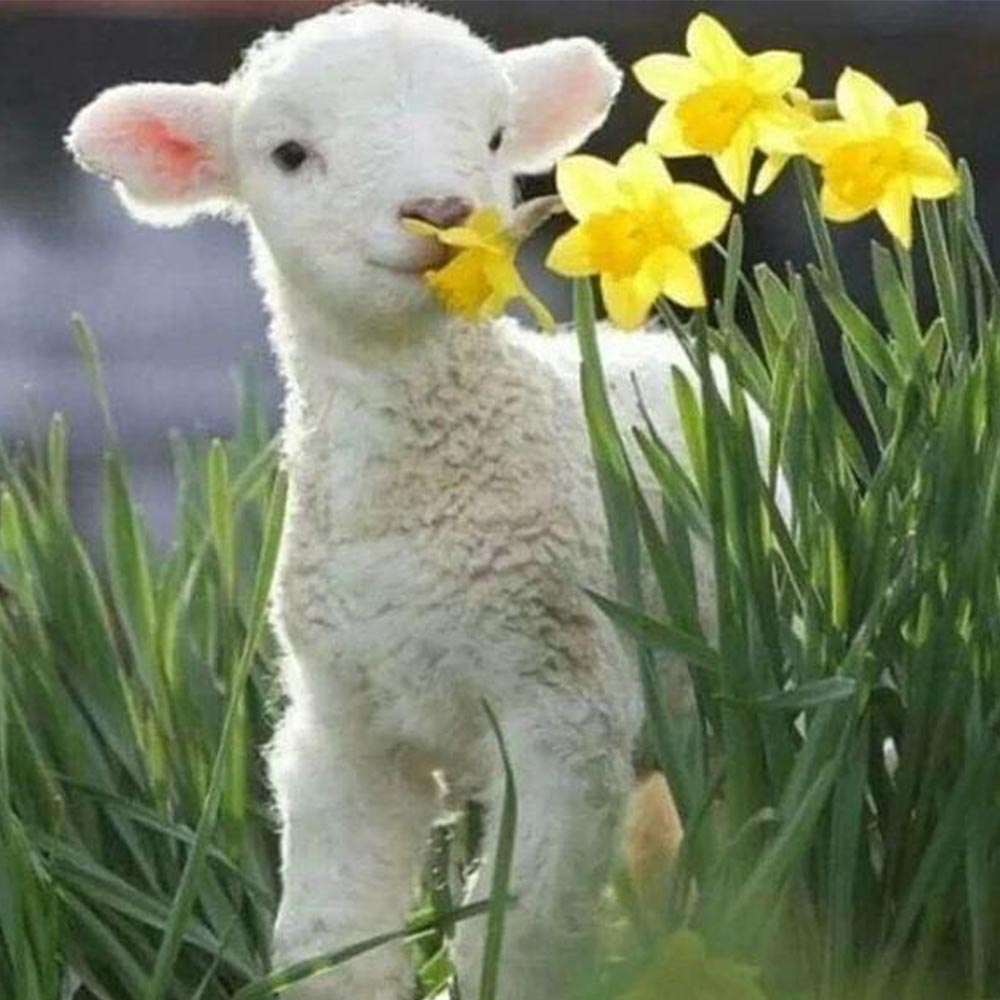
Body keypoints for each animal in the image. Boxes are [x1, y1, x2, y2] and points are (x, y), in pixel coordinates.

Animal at [66, 4, 713, 997]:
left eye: (494, 135)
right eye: (290, 153)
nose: (442, 213)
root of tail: (639, 341)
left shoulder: (564, 710)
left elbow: (522, 934)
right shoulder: (343, 725)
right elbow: (329, 934)